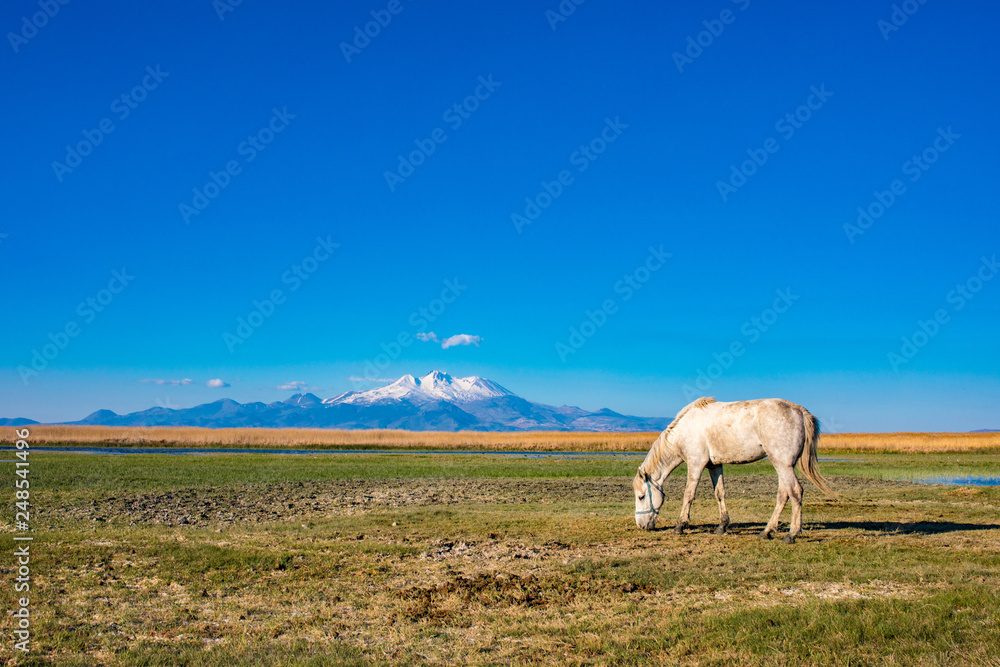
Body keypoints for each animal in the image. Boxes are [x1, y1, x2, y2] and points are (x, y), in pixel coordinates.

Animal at [632, 396, 834, 543]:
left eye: (641, 496)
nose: (640, 525)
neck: (683, 431)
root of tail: (800, 411)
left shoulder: (696, 463)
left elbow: (688, 495)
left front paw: (680, 526)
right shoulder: (714, 465)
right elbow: (719, 493)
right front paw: (722, 526)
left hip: (782, 464)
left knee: (795, 492)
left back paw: (791, 534)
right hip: (783, 465)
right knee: (783, 495)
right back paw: (766, 531)